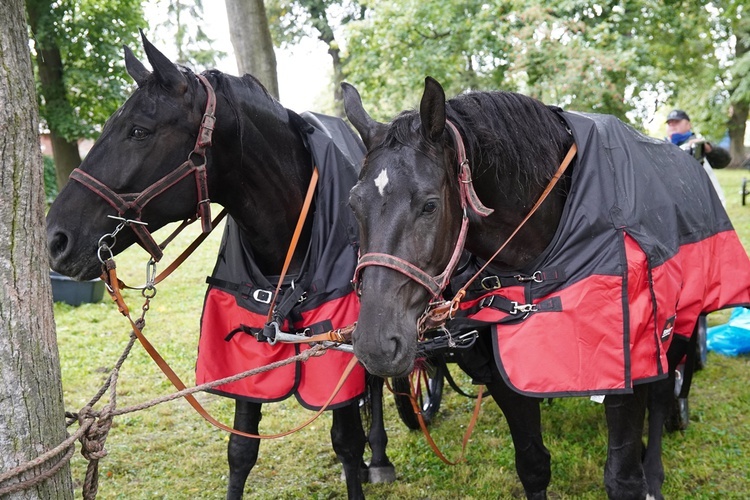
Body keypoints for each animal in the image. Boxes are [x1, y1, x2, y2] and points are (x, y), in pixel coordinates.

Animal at [45, 33, 394, 498]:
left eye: (138, 131)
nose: (55, 239)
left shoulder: (337, 349)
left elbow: (348, 444)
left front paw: (365, 457)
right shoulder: (245, 357)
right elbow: (241, 451)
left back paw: (381, 455)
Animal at [344, 76, 750, 498]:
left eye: (429, 205)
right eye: (353, 204)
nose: (375, 343)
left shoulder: (630, 364)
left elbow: (622, 477)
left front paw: (642, 472)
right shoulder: (504, 371)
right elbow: (533, 465)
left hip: (680, 323)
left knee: (664, 390)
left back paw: (655, 463)